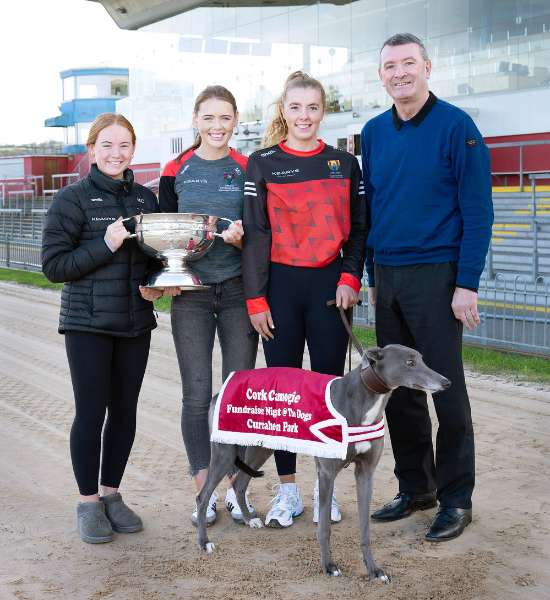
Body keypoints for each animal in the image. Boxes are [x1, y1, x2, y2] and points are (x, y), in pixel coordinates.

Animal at [196, 344, 450, 580]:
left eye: (422, 359)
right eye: (409, 363)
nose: (446, 382)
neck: (360, 399)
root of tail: (218, 392)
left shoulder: (365, 472)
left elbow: (365, 529)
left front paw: (374, 570)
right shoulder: (327, 473)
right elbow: (325, 528)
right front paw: (329, 566)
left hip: (261, 446)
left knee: (239, 482)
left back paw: (250, 521)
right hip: (224, 451)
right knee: (203, 495)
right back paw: (204, 542)